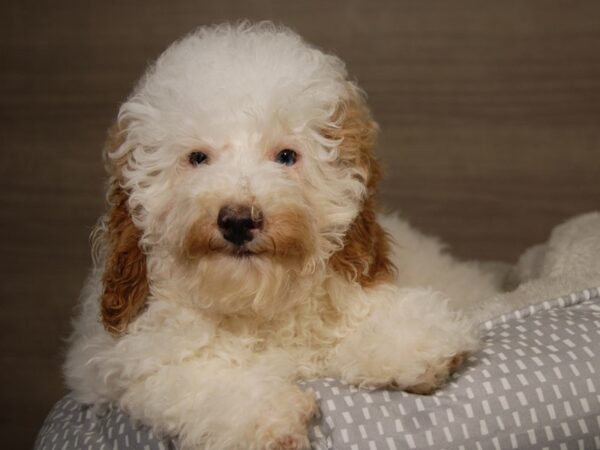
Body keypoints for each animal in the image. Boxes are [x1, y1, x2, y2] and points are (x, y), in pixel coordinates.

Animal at [67, 21, 502, 450]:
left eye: (286, 156)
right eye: (198, 158)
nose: (238, 220)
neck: (258, 305)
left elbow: (365, 313)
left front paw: (414, 343)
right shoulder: (126, 359)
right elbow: (192, 373)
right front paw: (265, 415)